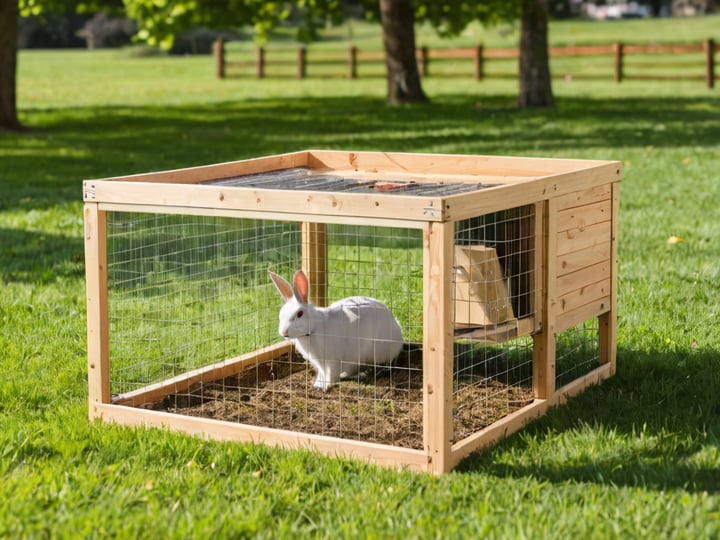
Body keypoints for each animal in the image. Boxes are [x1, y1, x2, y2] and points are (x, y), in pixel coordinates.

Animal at [269, 269, 404, 391]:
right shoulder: (319, 362)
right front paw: (318, 384)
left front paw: (326, 386)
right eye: (281, 313)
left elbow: (330, 374)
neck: (314, 329)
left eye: (300, 313)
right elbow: (322, 373)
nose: (284, 332)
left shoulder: (332, 360)